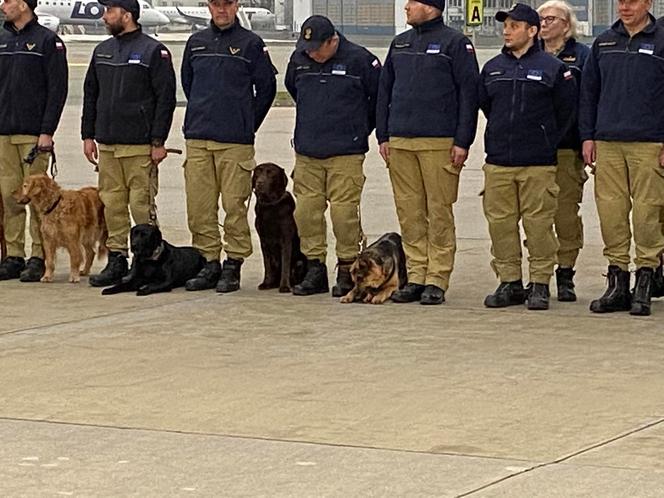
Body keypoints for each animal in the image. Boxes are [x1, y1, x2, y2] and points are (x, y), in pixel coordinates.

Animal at [253, 161, 308, 292]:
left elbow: (285, 264)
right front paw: (266, 283)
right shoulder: (263, 241)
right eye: (257, 173)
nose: (259, 183)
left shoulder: (286, 239)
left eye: (271, 173)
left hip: (299, 262)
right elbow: (267, 265)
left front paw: (284, 286)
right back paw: (273, 283)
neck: (270, 205)